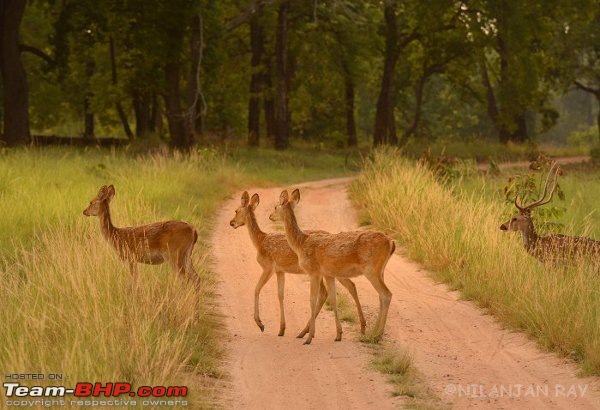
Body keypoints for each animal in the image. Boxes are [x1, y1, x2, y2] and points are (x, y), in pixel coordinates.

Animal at [230, 191, 368, 338]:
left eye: (236, 210)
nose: (231, 222)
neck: (260, 241)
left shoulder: (268, 267)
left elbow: (256, 289)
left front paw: (260, 324)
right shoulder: (280, 270)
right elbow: (280, 295)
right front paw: (281, 329)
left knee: (336, 290)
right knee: (344, 287)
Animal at [270, 191, 396, 344]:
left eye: (275, 207)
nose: (270, 216)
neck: (300, 244)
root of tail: (391, 243)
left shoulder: (314, 271)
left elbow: (312, 299)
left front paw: (309, 338)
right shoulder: (328, 274)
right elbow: (333, 299)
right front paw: (338, 334)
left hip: (371, 270)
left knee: (386, 294)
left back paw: (377, 335)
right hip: (380, 271)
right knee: (381, 296)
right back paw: (374, 333)